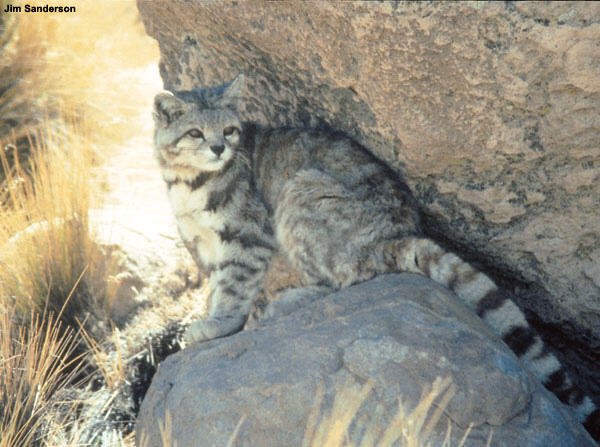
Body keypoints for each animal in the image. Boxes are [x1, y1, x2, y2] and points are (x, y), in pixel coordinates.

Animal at [152, 75, 596, 440]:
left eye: (229, 129)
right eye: (195, 132)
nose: (218, 147)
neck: (187, 184)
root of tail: (398, 234)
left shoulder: (248, 234)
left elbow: (234, 286)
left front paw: (217, 325)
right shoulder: (205, 242)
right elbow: (216, 283)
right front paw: (209, 317)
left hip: (303, 191)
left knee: (345, 277)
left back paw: (287, 301)